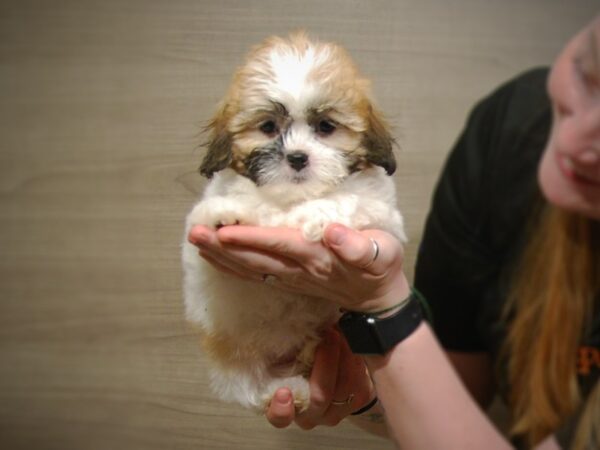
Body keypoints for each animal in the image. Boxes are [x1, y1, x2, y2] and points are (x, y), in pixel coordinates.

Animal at [182, 30, 408, 412]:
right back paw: (285, 389)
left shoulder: (384, 214)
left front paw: (314, 215)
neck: (289, 197)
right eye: (268, 127)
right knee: (247, 389)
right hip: (235, 355)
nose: (297, 157)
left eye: (326, 127)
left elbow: (350, 200)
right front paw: (223, 214)